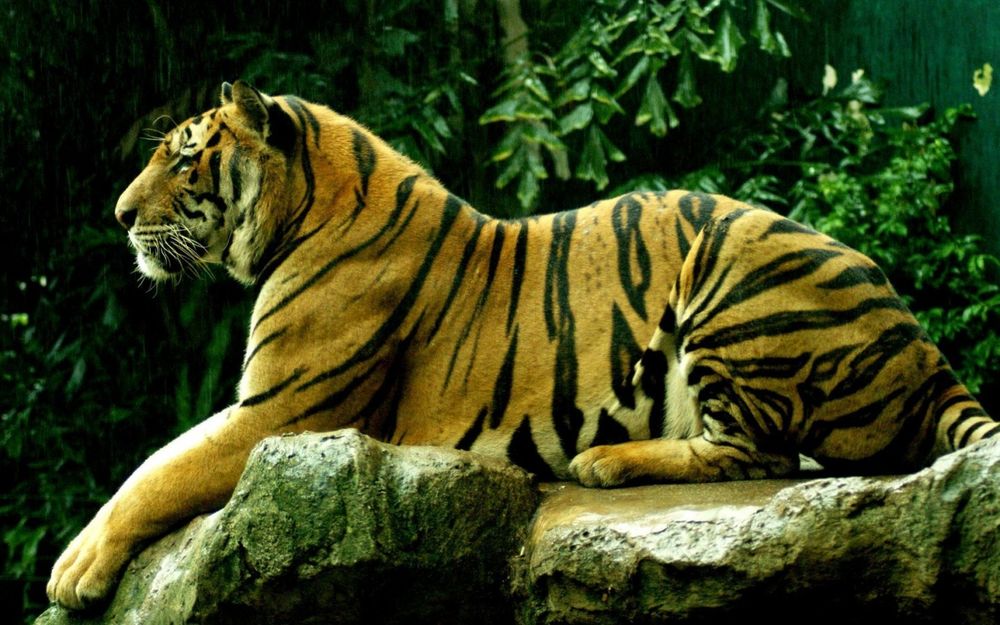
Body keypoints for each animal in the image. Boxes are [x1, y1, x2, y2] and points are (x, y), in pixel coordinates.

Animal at [48, 80, 997, 610]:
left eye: (185, 160)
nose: (119, 215)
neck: (303, 209)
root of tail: (922, 345)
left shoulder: (279, 413)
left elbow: (156, 469)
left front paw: (73, 569)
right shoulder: (268, 409)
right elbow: (155, 462)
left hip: (733, 258)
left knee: (761, 456)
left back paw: (604, 462)